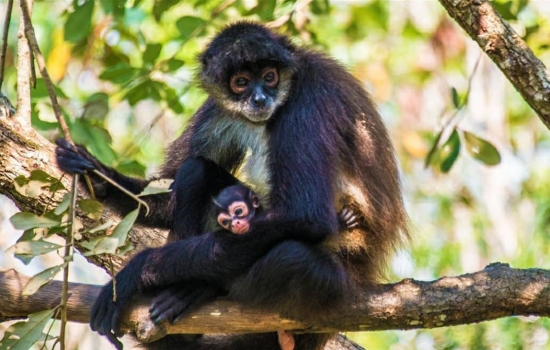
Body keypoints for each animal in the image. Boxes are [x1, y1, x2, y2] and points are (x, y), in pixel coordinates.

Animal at [56, 22, 410, 350]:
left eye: (269, 76)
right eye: (240, 82)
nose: (259, 98)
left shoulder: (309, 98)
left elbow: (305, 214)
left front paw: (137, 271)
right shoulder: (219, 107)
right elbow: (166, 199)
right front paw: (93, 172)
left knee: (291, 257)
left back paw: (197, 289)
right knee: (196, 169)